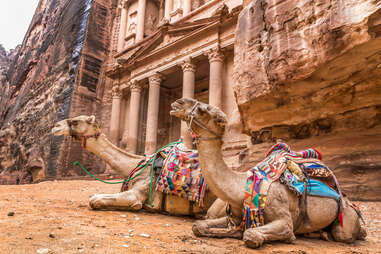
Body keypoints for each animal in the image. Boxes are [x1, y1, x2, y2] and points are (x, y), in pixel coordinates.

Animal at [49, 116, 223, 217]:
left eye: (76, 121)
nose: (55, 126)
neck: (135, 165)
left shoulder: (138, 192)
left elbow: (95, 199)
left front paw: (135, 206)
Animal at [170, 98, 366, 249]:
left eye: (203, 110)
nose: (177, 103)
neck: (240, 188)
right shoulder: (234, 215)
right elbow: (198, 226)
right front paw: (231, 232)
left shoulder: (283, 219)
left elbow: (253, 234)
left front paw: (287, 237)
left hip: (345, 218)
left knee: (343, 233)